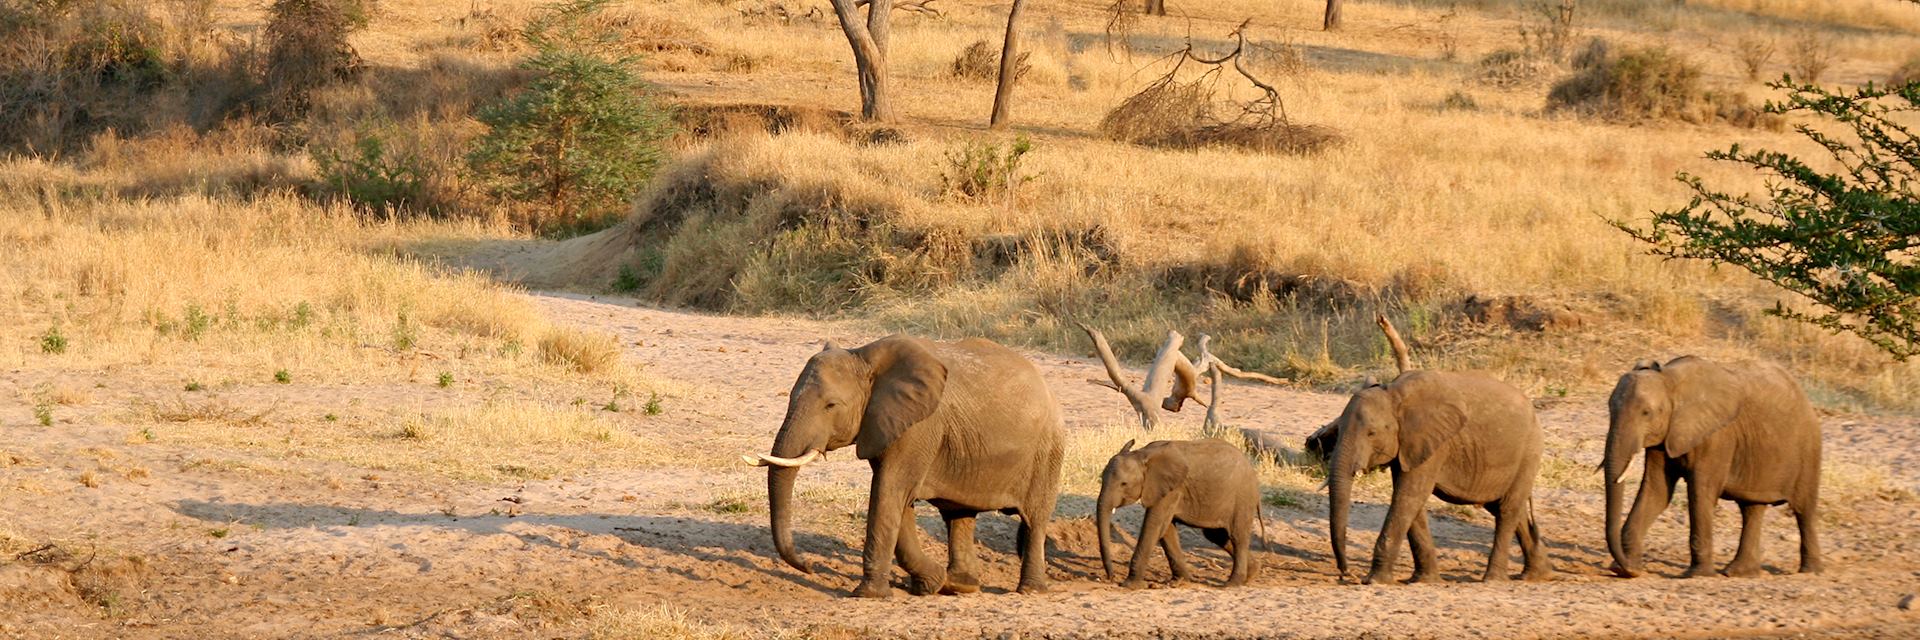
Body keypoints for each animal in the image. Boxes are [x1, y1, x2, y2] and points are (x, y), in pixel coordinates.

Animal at [741, 334, 1067, 599]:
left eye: (830, 406)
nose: (808, 567)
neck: (863, 357)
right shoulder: (884, 423)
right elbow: (898, 500)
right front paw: (931, 584)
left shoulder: (918, 427)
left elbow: (889, 491)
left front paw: (869, 595)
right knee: (958, 515)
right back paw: (962, 585)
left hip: (1047, 451)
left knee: (1035, 519)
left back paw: (1029, 591)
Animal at [1098, 438, 1259, 588]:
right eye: (1101, 479)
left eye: (1123, 484)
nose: (1111, 578)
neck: (1142, 454)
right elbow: (1166, 529)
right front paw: (1180, 580)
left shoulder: (1172, 489)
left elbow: (1154, 525)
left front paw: (1129, 585)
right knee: (1216, 535)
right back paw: (1251, 573)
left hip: (1243, 497)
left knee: (1237, 536)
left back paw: (1233, 583)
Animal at [1328, 369, 1551, 584]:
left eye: (1371, 433)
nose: (1345, 573)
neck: (1393, 394)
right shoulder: (1409, 447)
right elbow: (1411, 502)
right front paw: (1424, 580)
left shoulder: (1434, 444)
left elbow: (1408, 497)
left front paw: (1374, 581)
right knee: (1507, 508)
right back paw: (1536, 575)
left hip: (1529, 452)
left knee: (1507, 510)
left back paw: (1493, 580)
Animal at [1597, 355, 1820, 576]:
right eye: (1609, 408)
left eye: (1646, 413)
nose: (1629, 567)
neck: (1670, 380)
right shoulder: (1665, 437)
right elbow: (1657, 491)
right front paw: (1625, 569)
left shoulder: (1718, 436)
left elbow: (1701, 493)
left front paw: (1698, 574)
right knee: (1752, 509)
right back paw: (1738, 573)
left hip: (1808, 449)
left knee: (1804, 510)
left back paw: (1810, 571)